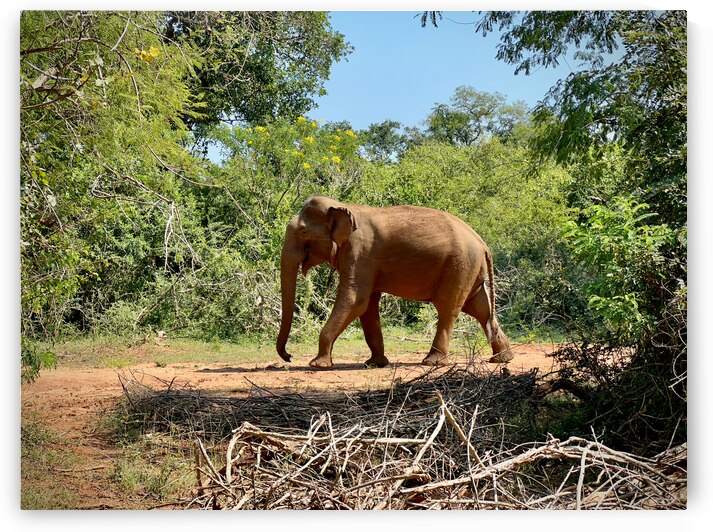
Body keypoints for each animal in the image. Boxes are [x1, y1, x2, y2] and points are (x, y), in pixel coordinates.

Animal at [276, 195, 513, 369]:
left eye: (303, 231)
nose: (289, 356)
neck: (345, 207)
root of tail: (482, 243)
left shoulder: (360, 254)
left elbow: (355, 301)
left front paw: (317, 365)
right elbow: (367, 306)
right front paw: (375, 364)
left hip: (459, 267)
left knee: (448, 308)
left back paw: (432, 362)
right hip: (469, 270)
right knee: (480, 308)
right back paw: (503, 359)